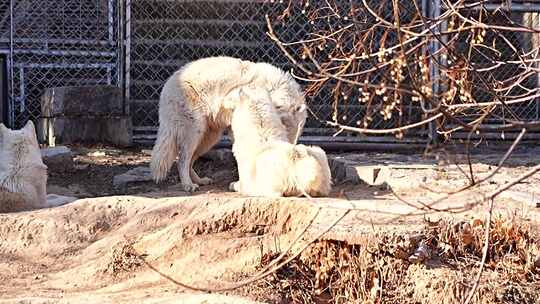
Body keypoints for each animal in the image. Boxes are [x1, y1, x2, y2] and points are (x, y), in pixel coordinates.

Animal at [150, 55, 308, 191]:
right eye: (286, 129)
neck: (273, 89)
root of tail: (166, 87)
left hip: (209, 138)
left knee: (189, 161)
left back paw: (199, 181)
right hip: (195, 132)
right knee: (182, 159)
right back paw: (188, 186)